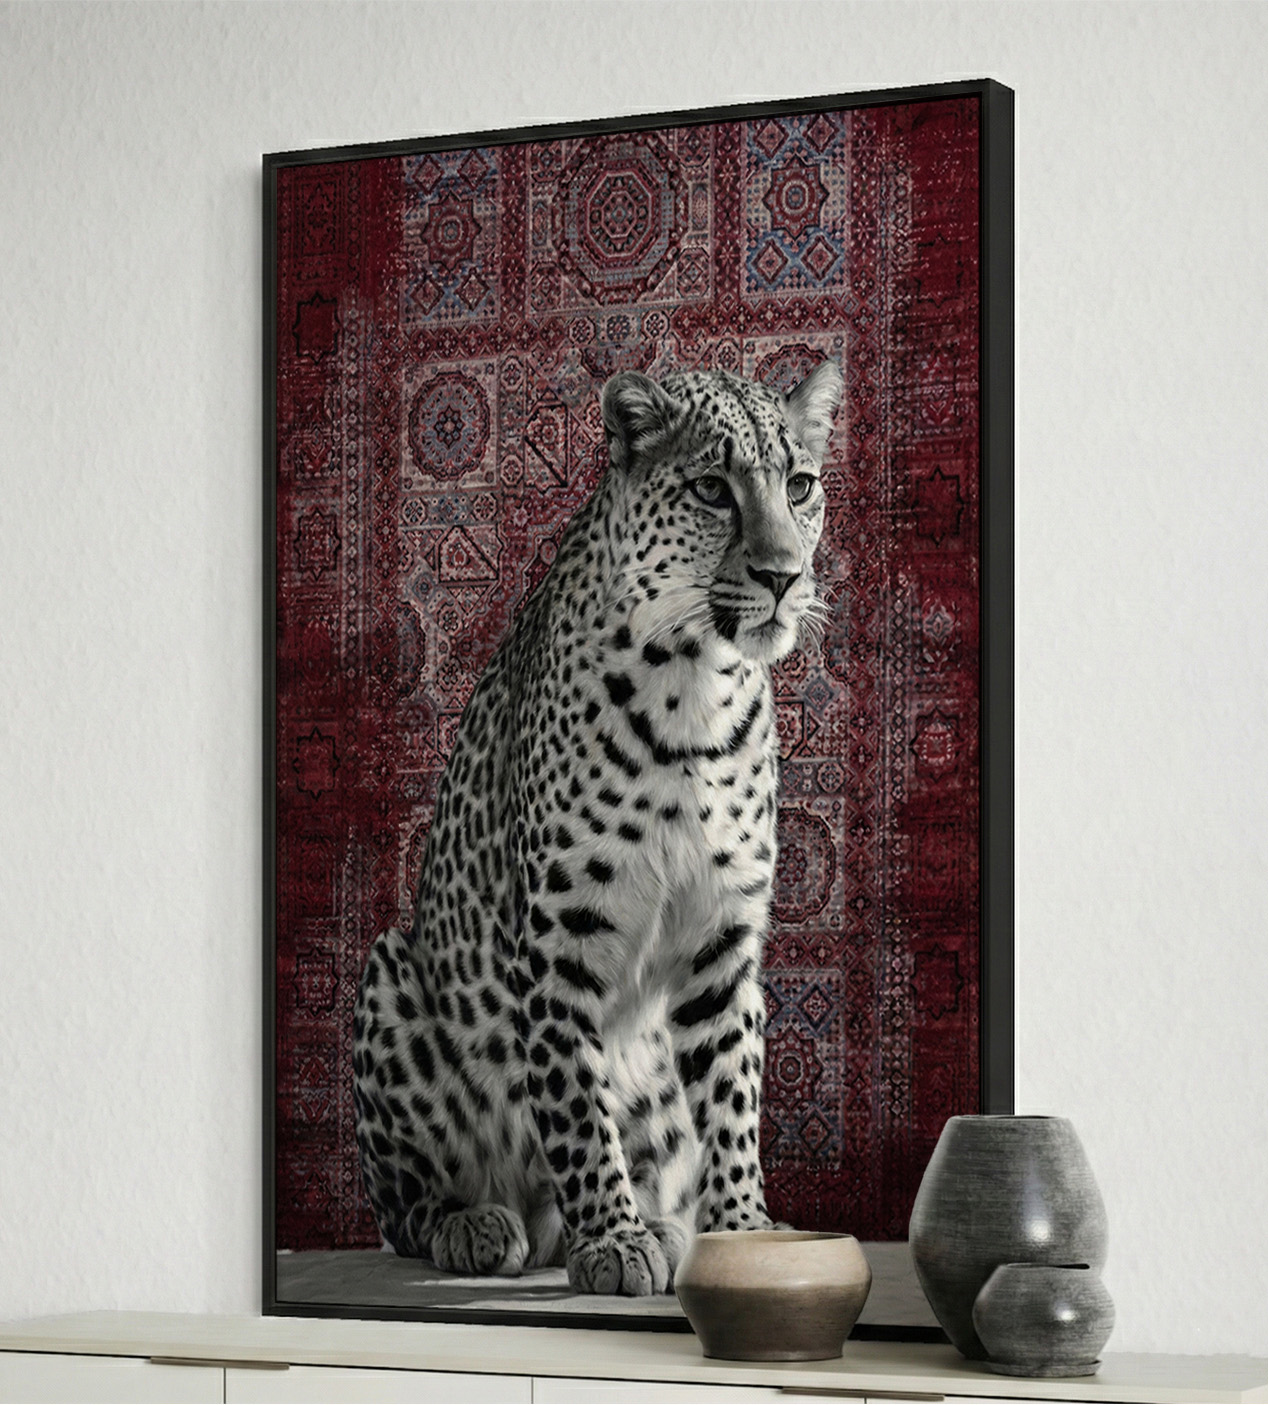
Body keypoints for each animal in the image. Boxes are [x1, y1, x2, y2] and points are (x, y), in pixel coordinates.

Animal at [353, 359, 844, 1296]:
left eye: (799, 486)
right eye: (711, 489)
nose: (783, 575)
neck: (697, 689)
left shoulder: (723, 939)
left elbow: (733, 1097)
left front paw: (742, 1232)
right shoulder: (559, 937)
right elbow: (576, 1102)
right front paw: (614, 1239)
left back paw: (667, 1225)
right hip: (389, 970)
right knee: (401, 1209)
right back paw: (478, 1225)